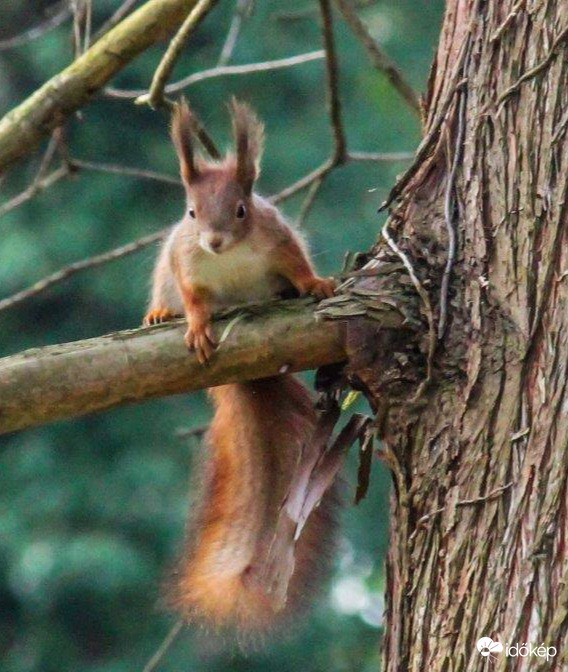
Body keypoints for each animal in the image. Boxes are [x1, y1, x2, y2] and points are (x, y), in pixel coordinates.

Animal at [145, 97, 338, 632]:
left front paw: (315, 284)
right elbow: (194, 298)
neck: (227, 259)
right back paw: (160, 313)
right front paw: (194, 325)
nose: (213, 241)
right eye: (190, 212)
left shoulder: (279, 242)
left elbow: (298, 268)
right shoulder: (185, 264)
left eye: (241, 209)